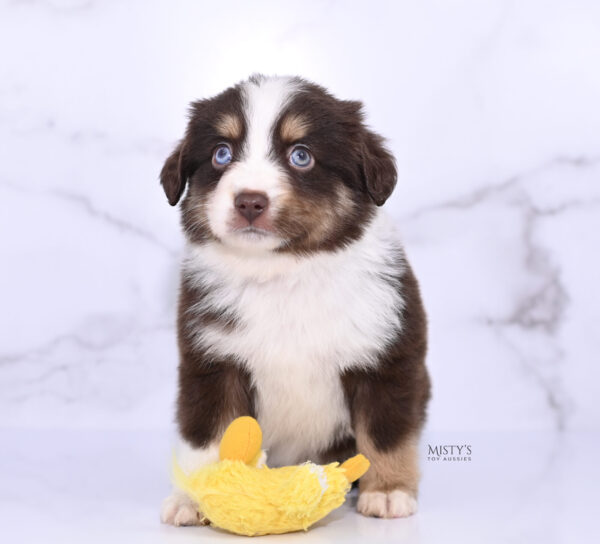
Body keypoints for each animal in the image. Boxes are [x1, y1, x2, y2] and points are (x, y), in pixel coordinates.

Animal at [159, 74, 432, 524]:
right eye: (221, 153)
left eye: (300, 155)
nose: (250, 201)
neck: (283, 272)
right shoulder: (212, 364)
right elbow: (207, 436)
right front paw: (194, 499)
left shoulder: (386, 358)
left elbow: (385, 434)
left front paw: (389, 491)